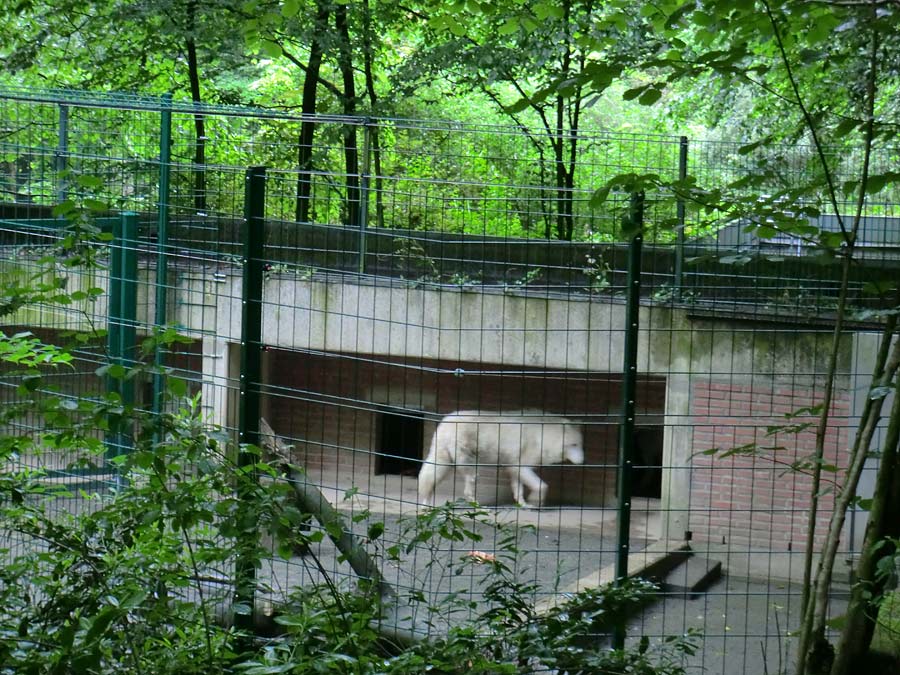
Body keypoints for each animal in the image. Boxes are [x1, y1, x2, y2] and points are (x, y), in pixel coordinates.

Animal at [418, 412, 588, 508]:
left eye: (580, 445)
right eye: (573, 445)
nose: (583, 462)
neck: (544, 436)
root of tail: (445, 423)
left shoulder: (514, 469)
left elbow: (519, 490)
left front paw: (523, 504)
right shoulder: (521, 467)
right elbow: (542, 486)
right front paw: (535, 501)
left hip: (444, 464)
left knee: (428, 480)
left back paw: (426, 506)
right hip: (471, 470)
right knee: (466, 490)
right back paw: (476, 506)